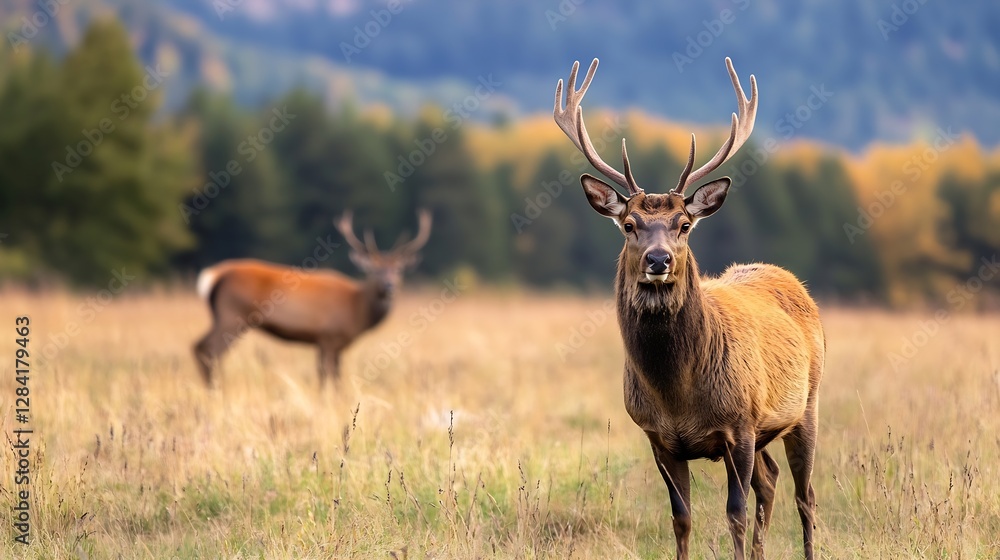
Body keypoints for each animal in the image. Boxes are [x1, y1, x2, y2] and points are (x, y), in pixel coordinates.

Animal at [192, 210, 431, 388]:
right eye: (373, 270)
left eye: (398, 269)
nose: (389, 286)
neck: (356, 310)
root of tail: (214, 275)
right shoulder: (328, 336)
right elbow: (327, 376)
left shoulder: (333, 344)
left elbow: (335, 376)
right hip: (232, 315)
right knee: (210, 350)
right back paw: (217, 389)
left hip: (222, 316)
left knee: (199, 346)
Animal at [553, 58, 824, 559]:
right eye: (629, 224)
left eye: (683, 224)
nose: (658, 260)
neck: (678, 394)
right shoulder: (659, 437)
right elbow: (681, 518)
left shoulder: (739, 423)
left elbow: (734, 514)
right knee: (771, 481)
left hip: (806, 404)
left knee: (805, 494)